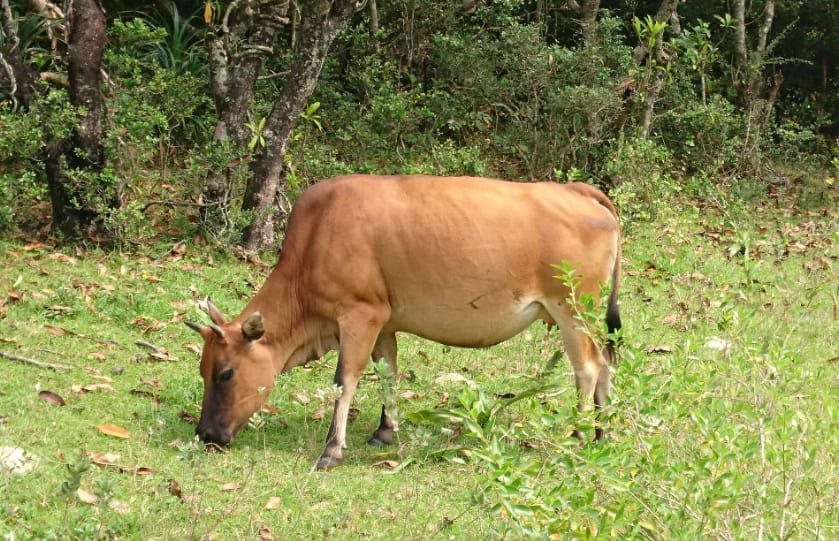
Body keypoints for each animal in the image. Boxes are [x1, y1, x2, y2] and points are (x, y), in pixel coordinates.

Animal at [187, 174, 620, 468]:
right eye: (202, 370)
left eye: (225, 373)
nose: (205, 433)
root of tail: (578, 190)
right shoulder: (385, 322)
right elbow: (388, 374)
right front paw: (384, 430)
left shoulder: (359, 314)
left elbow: (344, 381)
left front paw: (332, 449)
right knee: (606, 364)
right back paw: (601, 433)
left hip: (571, 308)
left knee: (587, 368)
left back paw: (580, 432)